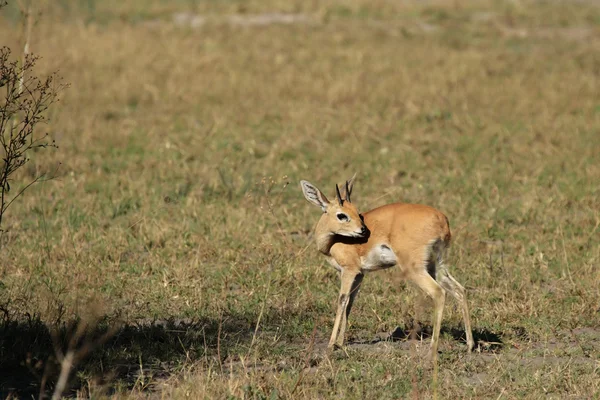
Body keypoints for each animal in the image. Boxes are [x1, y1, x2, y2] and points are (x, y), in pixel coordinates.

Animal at [300, 177, 474, 358]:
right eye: (343, 214)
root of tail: (441, 219)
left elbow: (341, 301)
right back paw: (470, 346)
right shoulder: (360, 274)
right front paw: (340, 343)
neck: (334, 241)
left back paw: (431, 351)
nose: (363, 230)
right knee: (459, 290)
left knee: (439, 293)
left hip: (415, 269)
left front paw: (331, 345)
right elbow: (349, 303)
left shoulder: (349, 271)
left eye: (356, 212)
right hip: (435, 266)